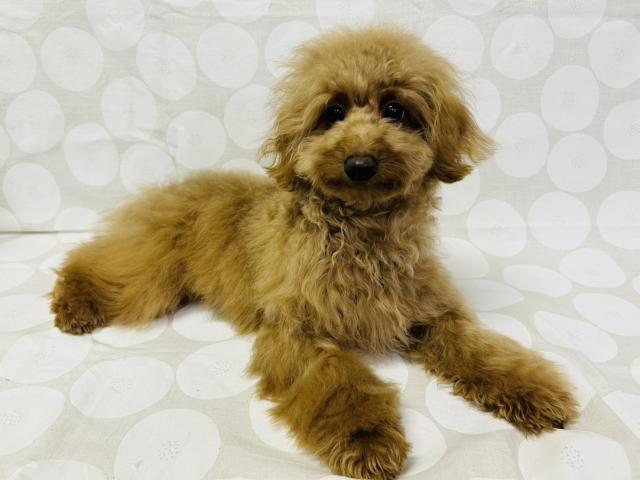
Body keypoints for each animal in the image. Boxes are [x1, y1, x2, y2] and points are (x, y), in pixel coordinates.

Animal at [52, 25, 578, 480]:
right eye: (333, 113)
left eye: (395, 109)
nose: (360, 163)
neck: (362, 236)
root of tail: (179, 185)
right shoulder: (298, 330)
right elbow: (339, 385)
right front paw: (367, 440)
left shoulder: (434, 313)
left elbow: (485, 352)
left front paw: (535, 391)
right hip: (152, 269)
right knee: (94, 262)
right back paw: (74, 304)